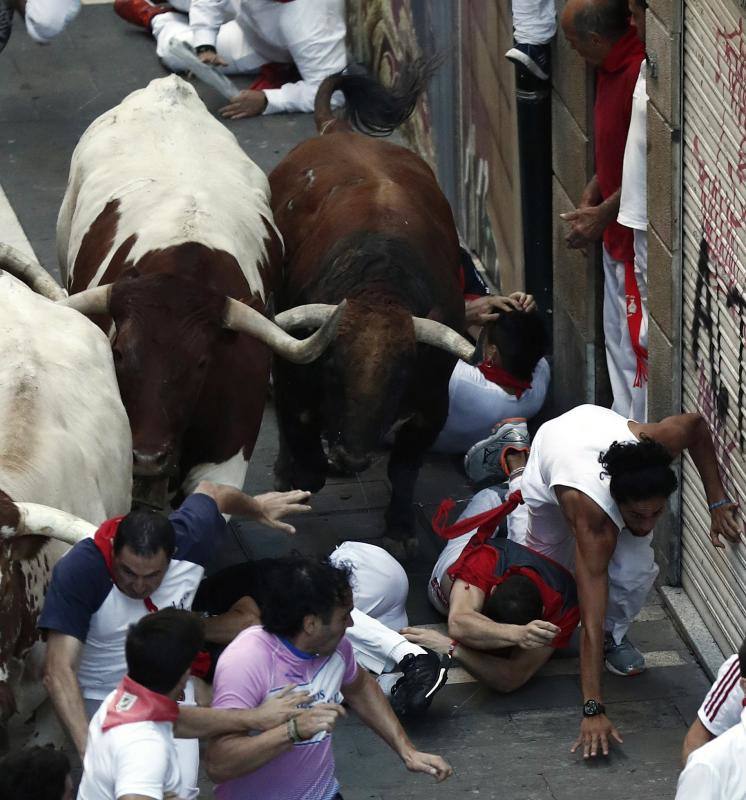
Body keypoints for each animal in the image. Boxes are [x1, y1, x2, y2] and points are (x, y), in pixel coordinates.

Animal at [270, 62, 474, 556]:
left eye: (400, 375)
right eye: (333, 369)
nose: (351, 455)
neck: (380, 288)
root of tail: (338, 130)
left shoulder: (430, 406)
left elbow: (404, 468)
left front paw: (400, 527)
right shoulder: (292, 379)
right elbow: (301, 441)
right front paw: (301, 474)